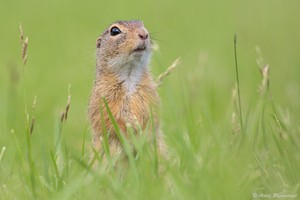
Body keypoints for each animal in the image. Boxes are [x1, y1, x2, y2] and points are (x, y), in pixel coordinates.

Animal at [88, 19, 165, 159]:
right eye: (114, 31)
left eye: (142, 24)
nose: (144, 34)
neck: (129, 75)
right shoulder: (102, 99)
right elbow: (107, 122)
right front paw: (129, 140)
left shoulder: (150, 95)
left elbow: (154, 118)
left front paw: (143, 138)